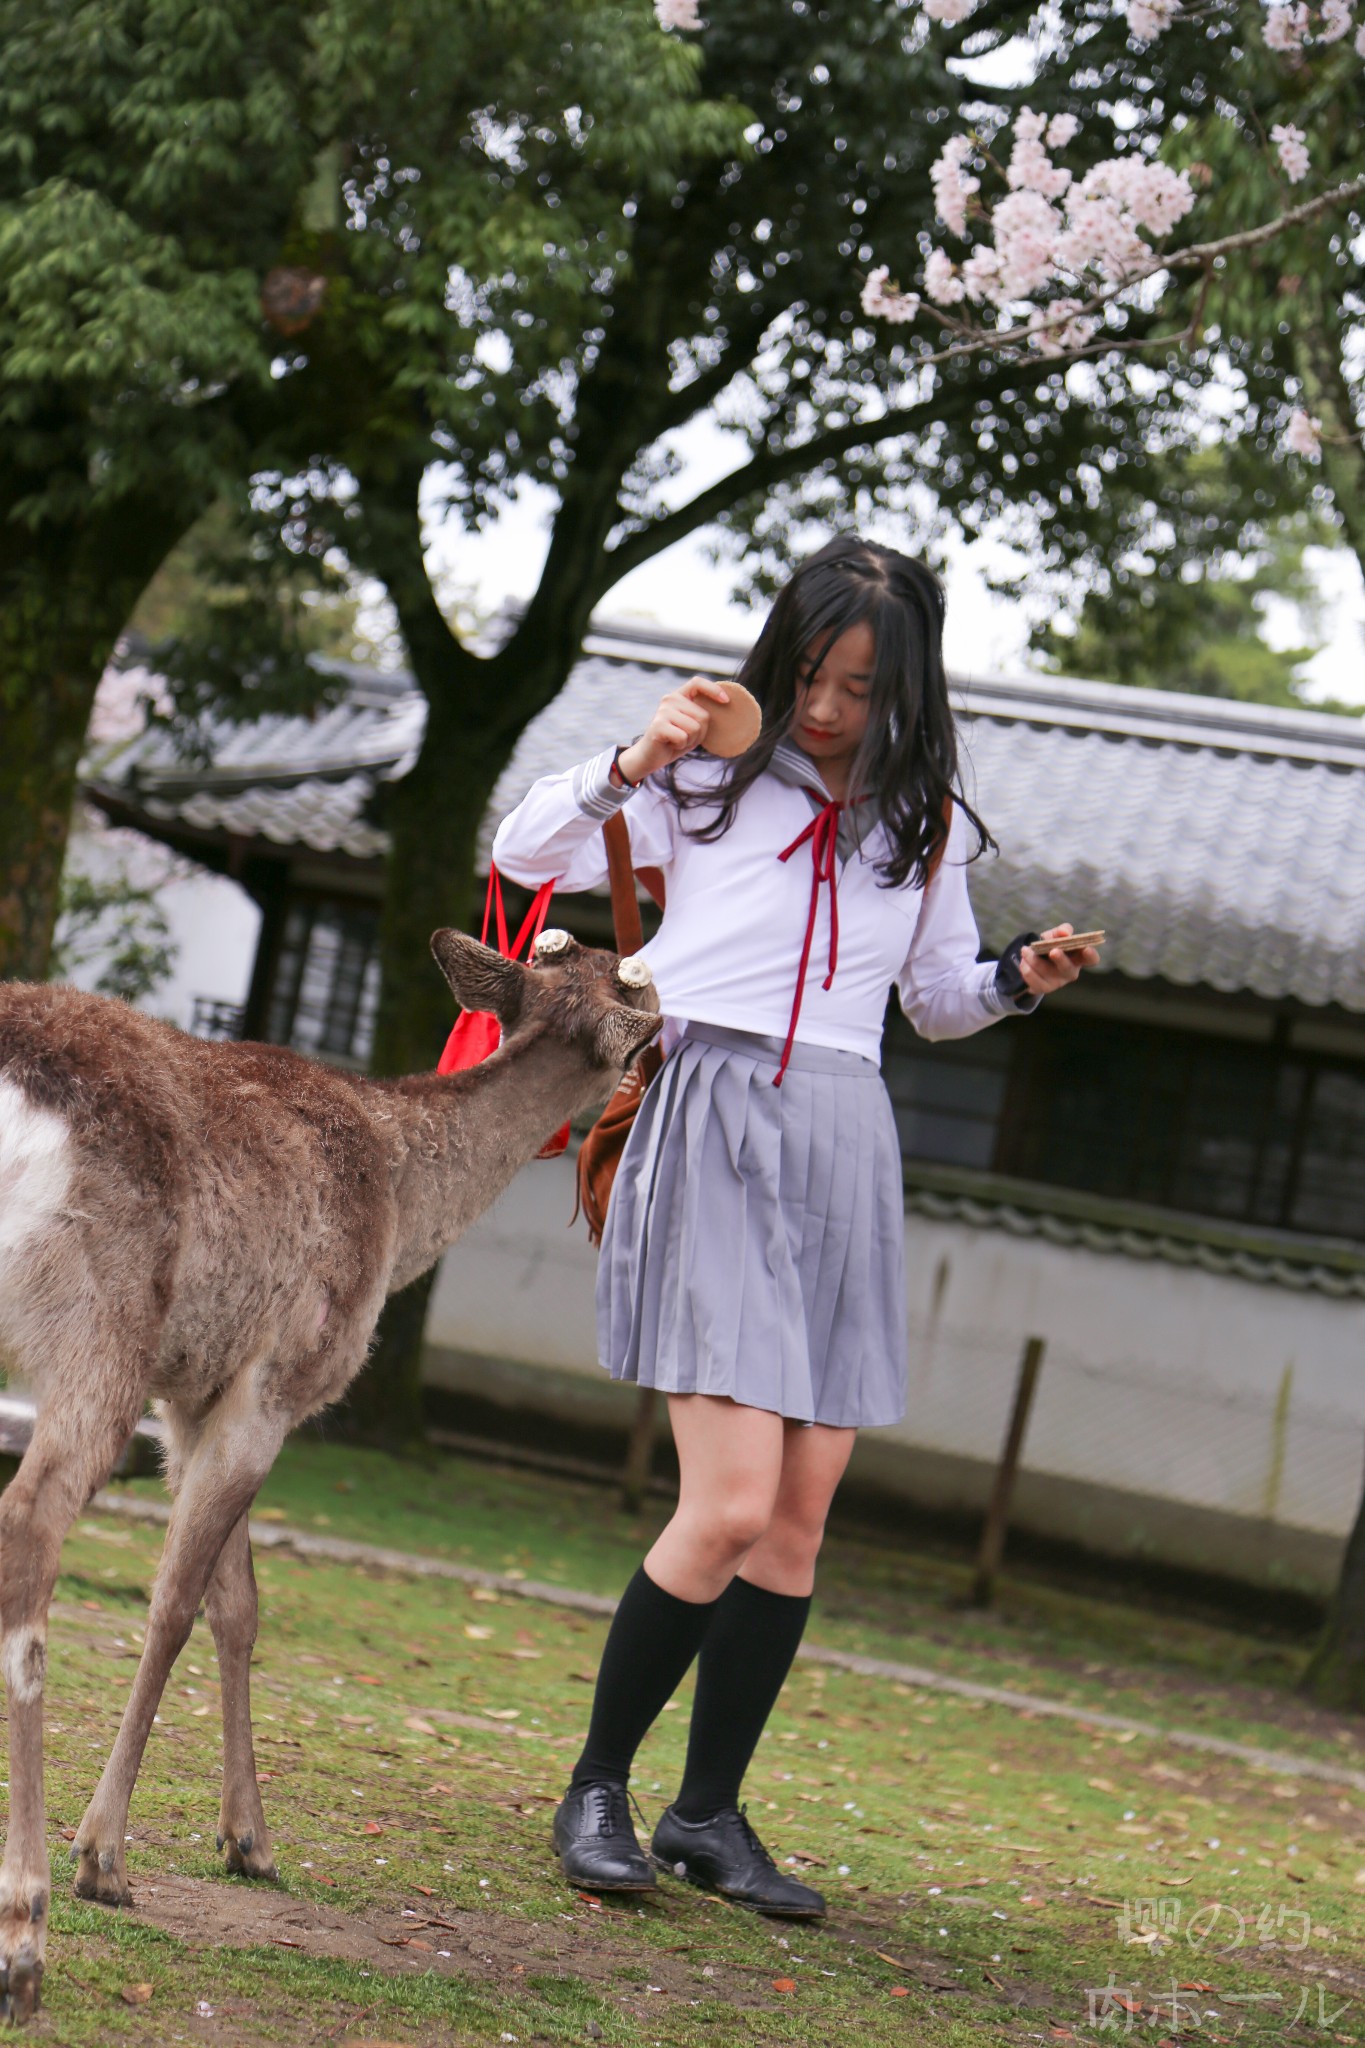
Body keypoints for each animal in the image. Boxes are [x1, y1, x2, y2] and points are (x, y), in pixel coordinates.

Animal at [0, 937, 663, 2023]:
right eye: (643, 989)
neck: (404, 1209)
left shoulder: (197, 1394)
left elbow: (238, 1607)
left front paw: (249, 1840)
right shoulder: (279, 1374)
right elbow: (176, 1602)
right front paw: (105, 1856)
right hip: (102, 1319)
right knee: (32, 1518)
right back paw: (29, 1930)